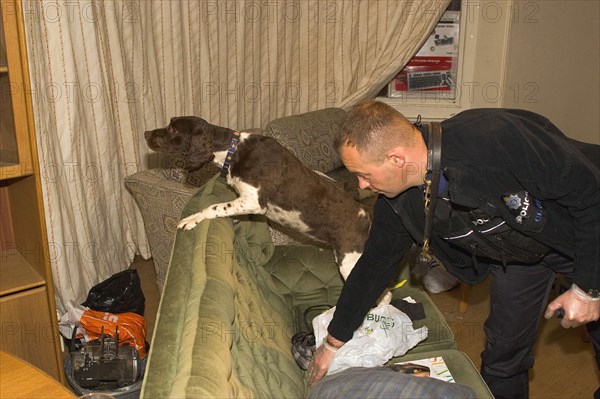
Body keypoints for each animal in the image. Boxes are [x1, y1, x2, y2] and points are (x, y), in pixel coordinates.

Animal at [145, 117, 370, 282]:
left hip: (350, 261)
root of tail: (367, 217)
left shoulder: (254, 201)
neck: (233, 150)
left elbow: (215, 207)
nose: (146, 133)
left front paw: (193, 218)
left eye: (172, 129)